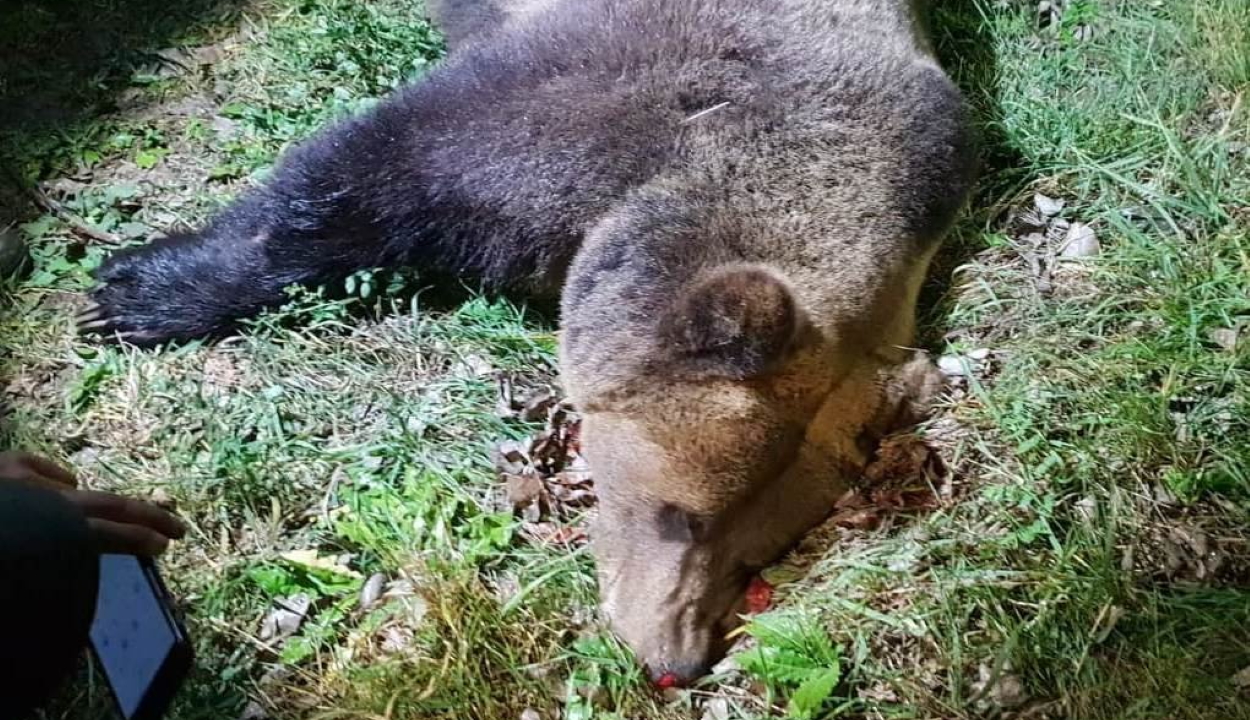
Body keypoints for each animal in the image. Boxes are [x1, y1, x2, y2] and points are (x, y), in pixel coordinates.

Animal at [80, 0, 975, 680]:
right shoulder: (619, 82)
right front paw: (132, 293)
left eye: (758, 551)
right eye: (679, 517)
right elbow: (363, 176)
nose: (673, 656)